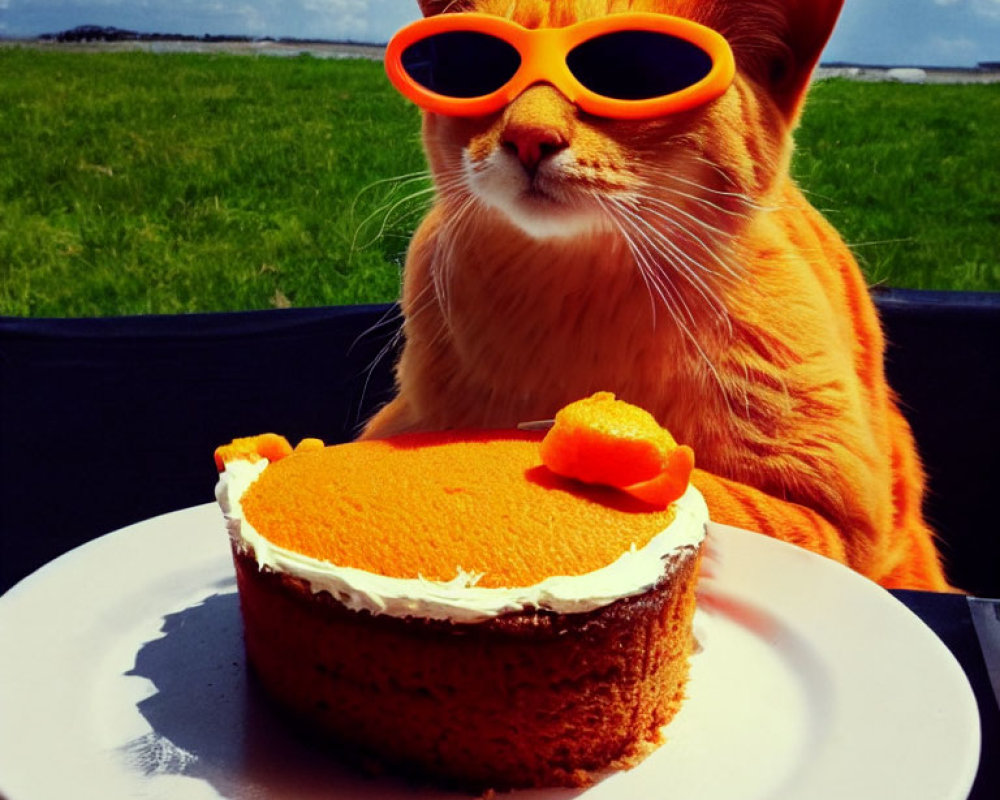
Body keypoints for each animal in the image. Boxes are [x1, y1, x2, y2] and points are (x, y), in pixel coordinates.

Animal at [362, 1, 952, 592]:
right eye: (472, 66)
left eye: (637, 71)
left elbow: (715, 496)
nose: (529, 137)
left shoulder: (838, 527)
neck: (577, 301)